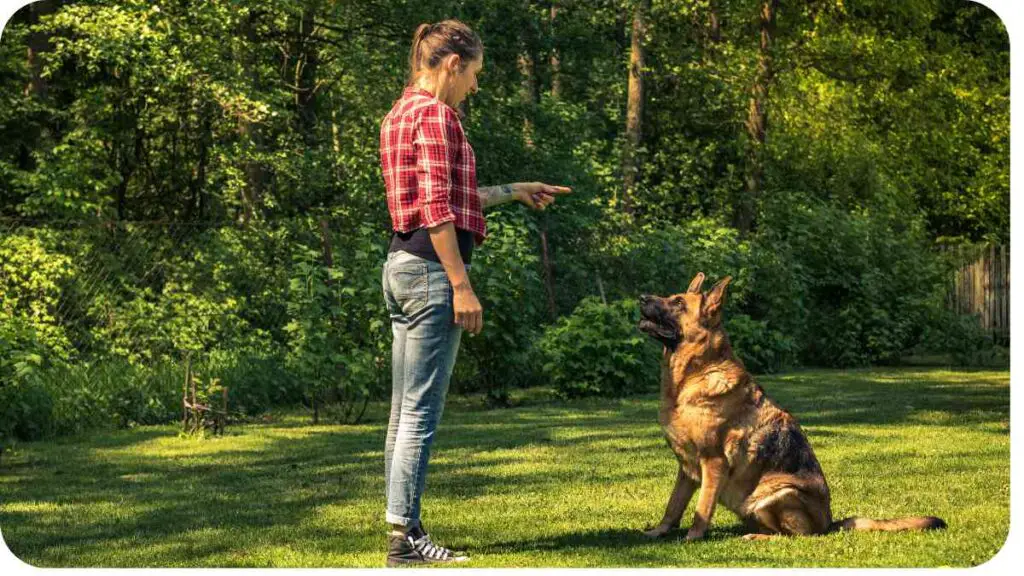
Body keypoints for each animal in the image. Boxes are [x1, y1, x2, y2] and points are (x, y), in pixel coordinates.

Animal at [638, 272, 942, 537]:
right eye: (669, 297)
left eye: (678, 303)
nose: (641, 297)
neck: (691, 377)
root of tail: (829, 524)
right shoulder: (686, 470)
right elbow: (673, 506)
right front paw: (658, 533)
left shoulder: (713, 463)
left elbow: (702, 508)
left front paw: (692, 538)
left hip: (776, 494)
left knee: (795, 536)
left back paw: (757, 537)